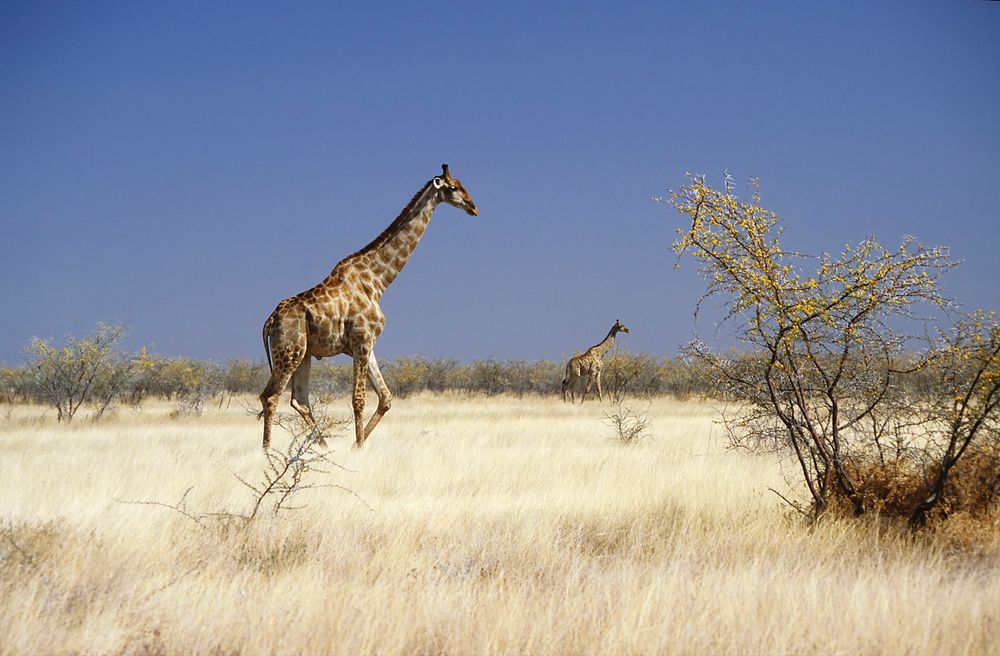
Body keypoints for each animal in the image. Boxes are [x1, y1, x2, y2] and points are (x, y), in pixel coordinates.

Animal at [258, 165, 476, 452]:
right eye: (453, 187)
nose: (473, 206)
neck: (377, 281)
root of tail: (269, 322)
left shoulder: (367, 344)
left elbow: (386, 397)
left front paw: (355, 446)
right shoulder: (361, 341)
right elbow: (358, 399)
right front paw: (359, 447)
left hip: (303, 354)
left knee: (299, 400)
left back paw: (323, 447)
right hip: (288, 352)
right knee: (271, 396)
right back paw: (267, 451)